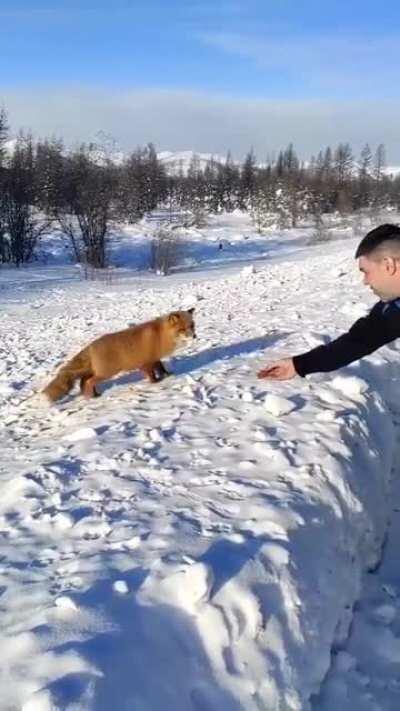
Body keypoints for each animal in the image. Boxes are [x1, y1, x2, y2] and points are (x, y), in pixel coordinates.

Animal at [42, 308, 196, 402]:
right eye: (182, 329)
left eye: (192, 326)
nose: (194, 336)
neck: (161, 335)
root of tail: (91, 346)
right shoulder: (145, 362)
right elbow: (151, 374)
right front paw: (156, 383)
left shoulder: (155, 358)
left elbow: (161, 368)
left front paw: (167, 375)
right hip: (106, 373)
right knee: (89, 382)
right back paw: (93, 396)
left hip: (96, 372)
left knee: (83, 382)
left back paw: (92, 395)